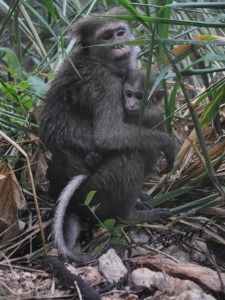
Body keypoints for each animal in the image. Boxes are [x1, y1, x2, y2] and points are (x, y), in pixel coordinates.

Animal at [39, 7, 175, 298]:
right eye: (107, 36)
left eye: (120, 32)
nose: (120, 45)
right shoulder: (106, 84)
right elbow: (108, 135)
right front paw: (168, 143)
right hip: (93, 192)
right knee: (132, 154)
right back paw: (130, 215)